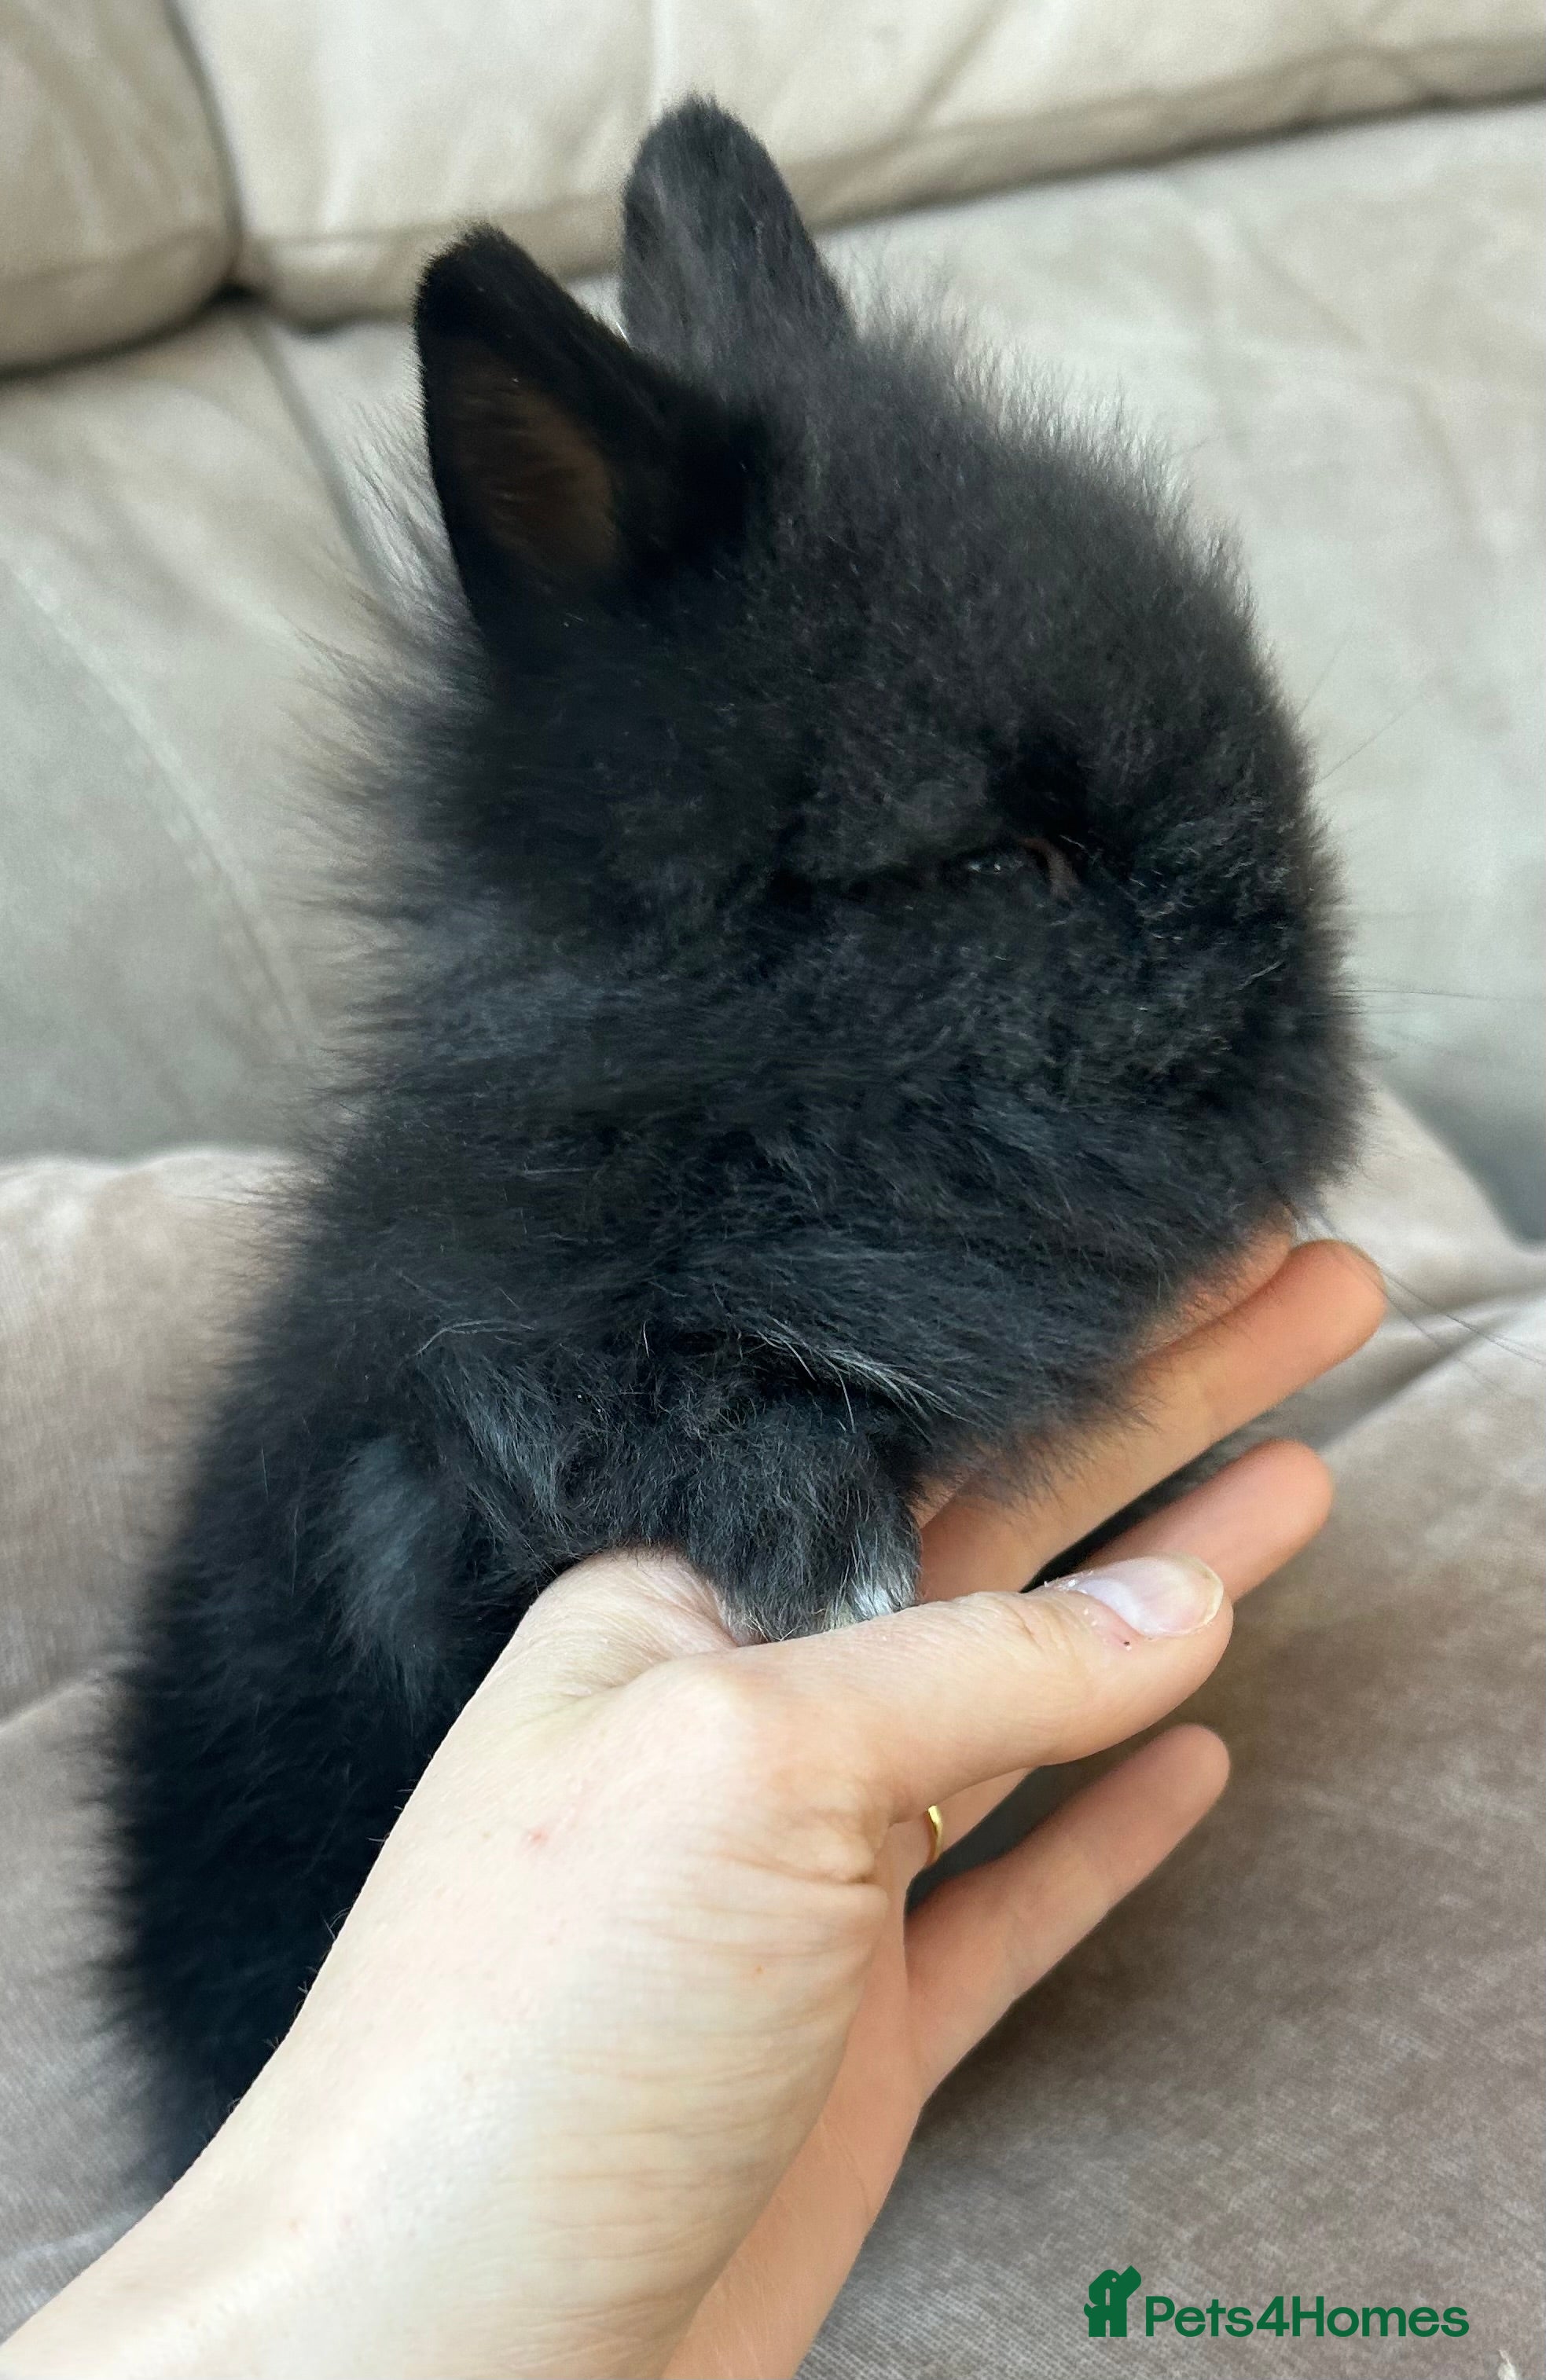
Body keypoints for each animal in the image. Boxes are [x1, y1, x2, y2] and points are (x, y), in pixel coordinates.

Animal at [109, 98, 1359, 2175]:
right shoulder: (435, 1441)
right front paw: (817, 1540)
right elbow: (616, 1402)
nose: (1294, 990)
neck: (742, 1118)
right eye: (1006, 858)